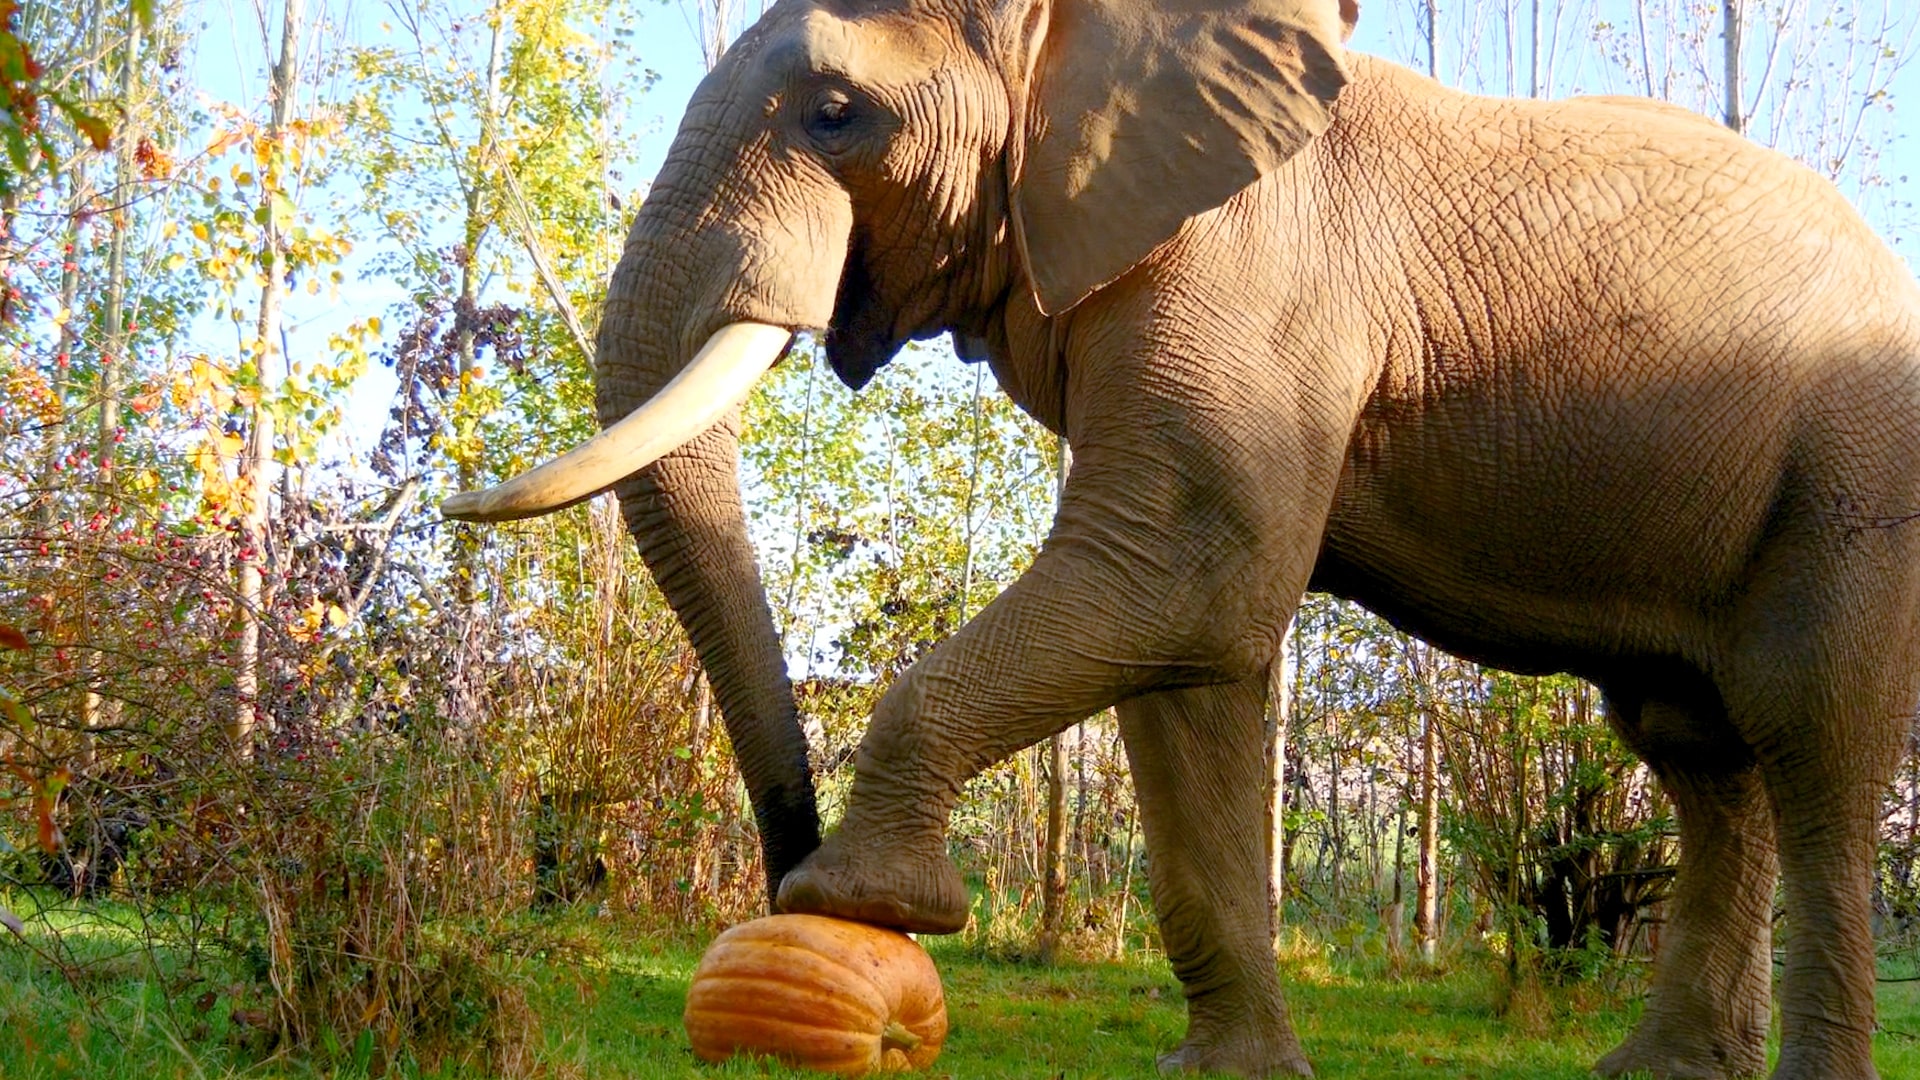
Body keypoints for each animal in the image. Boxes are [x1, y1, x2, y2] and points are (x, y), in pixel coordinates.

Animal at [441, 0, 1920, 1068]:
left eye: (836, 112)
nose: (779, 872)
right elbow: (1185, 664)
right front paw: (1232, 1078)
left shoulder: (1250, 275)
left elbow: (1181, 580)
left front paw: (881, 906)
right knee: (1697, 753)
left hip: (1857, 473)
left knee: (1808, 741)